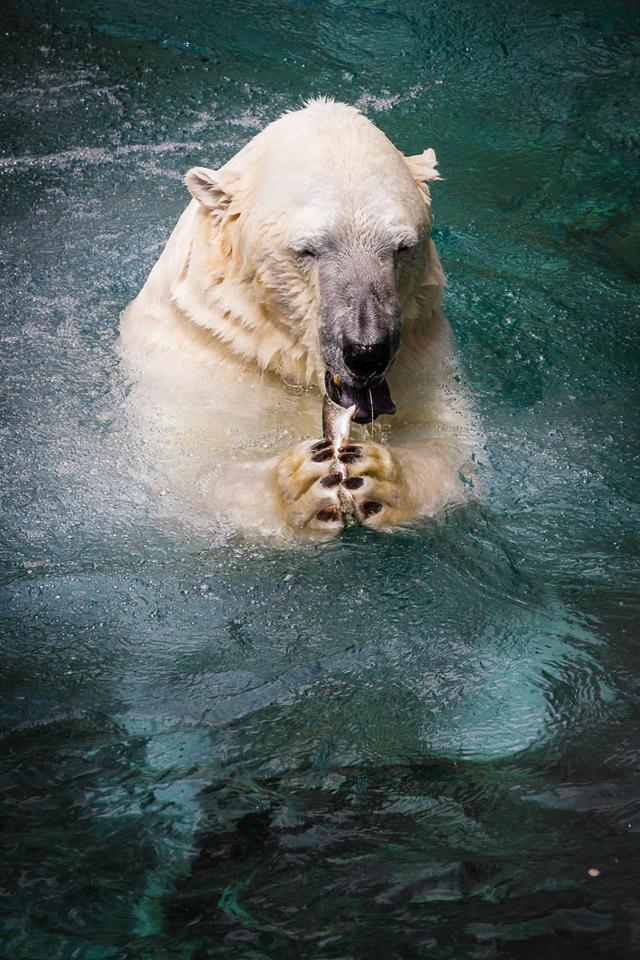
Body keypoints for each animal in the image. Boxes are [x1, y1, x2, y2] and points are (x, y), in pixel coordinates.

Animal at [120, 102, 480, 544]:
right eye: (308, 249)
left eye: (401, 247)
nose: (367, 352)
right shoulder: (200, 360)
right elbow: (190, 472)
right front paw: (300, 482)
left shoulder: (421, 350)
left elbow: (452, 444)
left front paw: (376, 476)